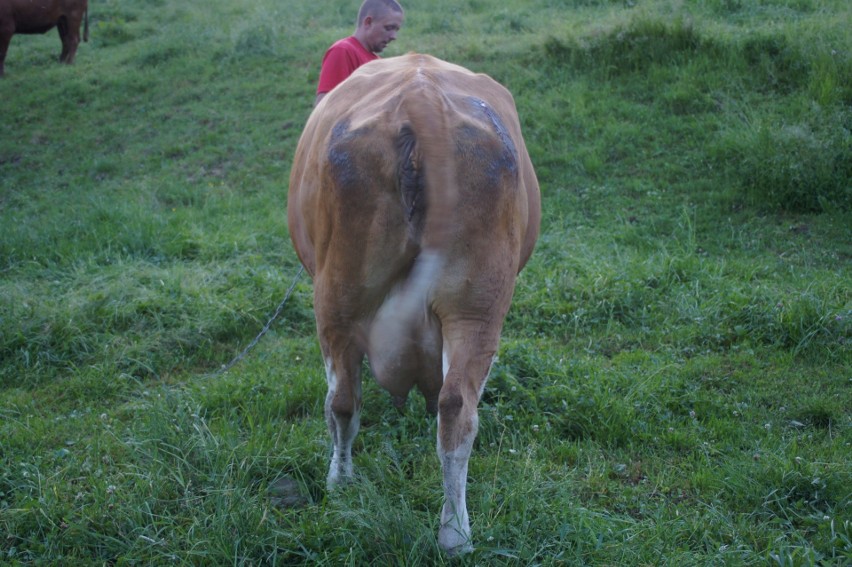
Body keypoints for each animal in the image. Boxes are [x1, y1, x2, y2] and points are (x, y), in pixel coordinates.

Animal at [288, 53, 540, 556]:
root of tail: (420, 96)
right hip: (476, 307)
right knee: (456, 408)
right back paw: (455, 533)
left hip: (336, 299)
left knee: (342, 401)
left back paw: (341, 483)